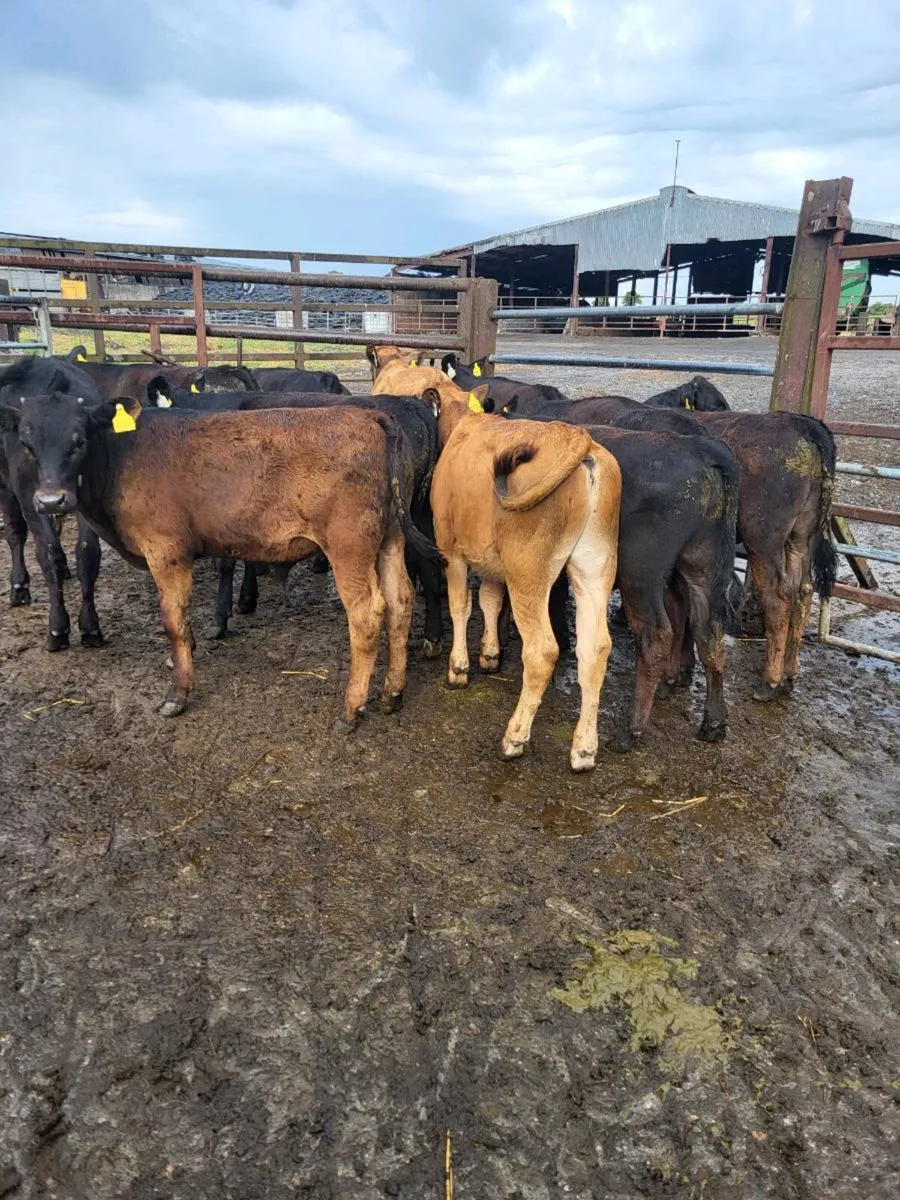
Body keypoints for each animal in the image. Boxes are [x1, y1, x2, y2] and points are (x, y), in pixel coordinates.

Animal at [0, 356, 105, 650]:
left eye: (79, 441)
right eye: (26, 444)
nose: (52, 499)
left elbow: (87, 551)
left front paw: (90, 626)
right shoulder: (29, 499)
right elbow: (48, 552)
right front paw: (58, 627)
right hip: (6, 487)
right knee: (15, 533)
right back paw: (19, 587)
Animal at [0, 393, 442, 726]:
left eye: (78, 440)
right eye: (26, 444)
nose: (50, 501)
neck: (124, 454)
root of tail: (372, 415)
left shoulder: (166, 552)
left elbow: (173, 620)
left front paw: (178, 693)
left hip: (349, 548)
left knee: (367, 615)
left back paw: (352, 708)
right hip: (390, 539)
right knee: (400, 602)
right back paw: (392, 692)